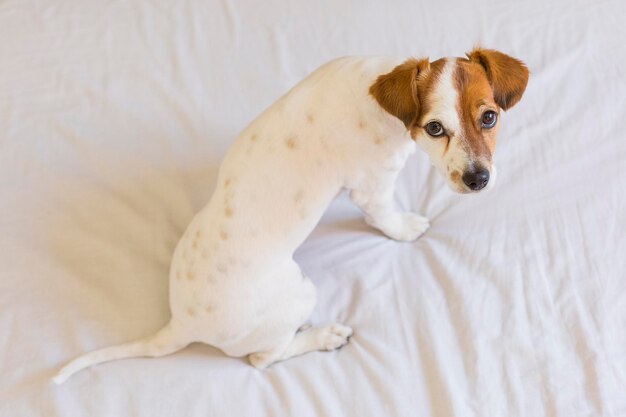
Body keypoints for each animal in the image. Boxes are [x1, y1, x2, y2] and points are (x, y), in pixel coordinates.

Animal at [54, 47, 528, 382]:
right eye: (434, 128)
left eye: (489, 117)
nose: (478, 179)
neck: (377, 95)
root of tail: (180, 323)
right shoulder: (372, 186)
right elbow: (386, 218)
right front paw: (406, 227)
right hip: (298, 296)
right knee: (263, 358)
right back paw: (322, 336)